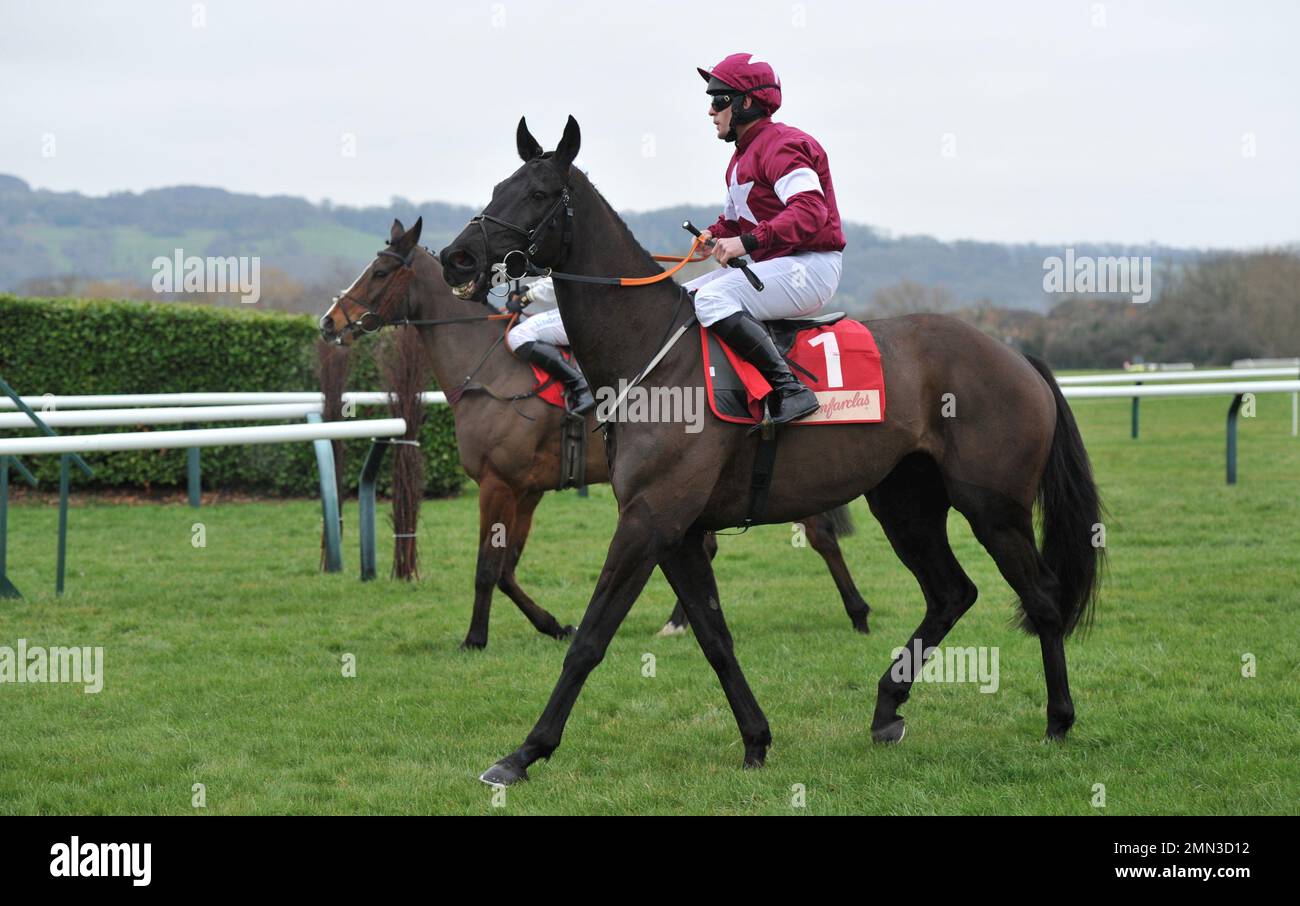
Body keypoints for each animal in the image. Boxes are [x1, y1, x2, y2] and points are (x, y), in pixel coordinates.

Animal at [319, 223, 878, 652]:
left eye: (380, 272)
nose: (328, 322)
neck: (492, 372)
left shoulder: (498, 484)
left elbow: (486, 568)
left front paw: (474, 638)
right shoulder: (527, 491)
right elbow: (507, 568)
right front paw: (553, 625)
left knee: (819, 533)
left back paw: (855, 610)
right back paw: (681, 620)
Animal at [439, 118, 1107, 785]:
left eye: (539, 192)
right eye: (499, 186)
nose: (457, 258)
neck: (651, 354)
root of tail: (1014, 354)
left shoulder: (649, 520)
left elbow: (589, 641)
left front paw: (523, 753)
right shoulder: (676, 531)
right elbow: (714, 637)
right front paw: (756, 739)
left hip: (993, 508)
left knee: (1042, 598)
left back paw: (1058, 720)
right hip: (906, 504)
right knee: (951, 593)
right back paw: (886, 709)